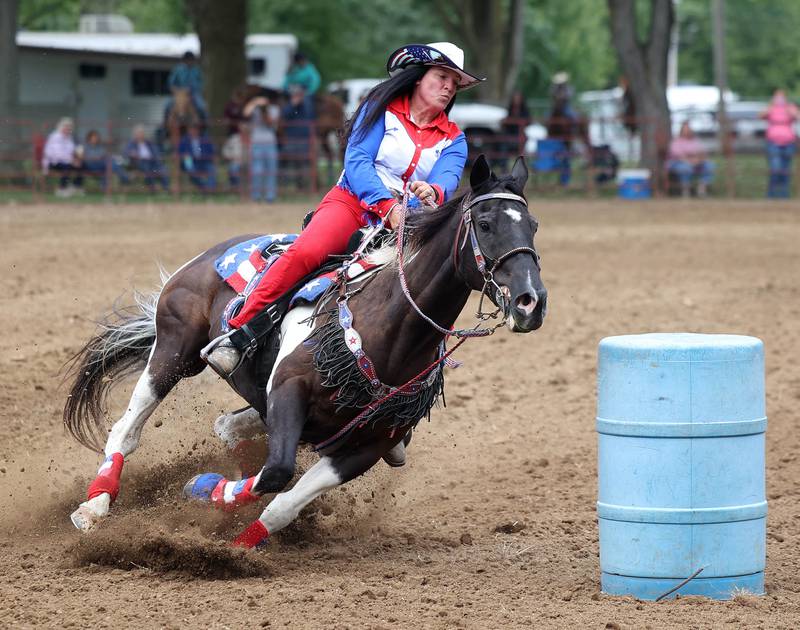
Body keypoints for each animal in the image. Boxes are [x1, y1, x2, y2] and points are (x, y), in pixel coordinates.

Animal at [63, 154, 547, 548]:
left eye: (533, 226)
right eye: (485, 224)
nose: (531, 301)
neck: (385, 329)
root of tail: (211, 254)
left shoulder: (367, 446)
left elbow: (283, 502)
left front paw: (240, 543)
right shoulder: (288, 391)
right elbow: (276, 471)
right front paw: (202, 487)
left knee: (226, 428)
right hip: (175, 349)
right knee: (126, 430)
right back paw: (94, 508)